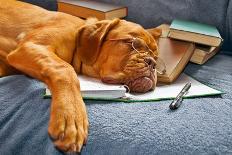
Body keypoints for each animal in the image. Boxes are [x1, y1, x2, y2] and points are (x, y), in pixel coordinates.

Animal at [0, 0, 161, 153]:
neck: (77, 39)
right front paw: (71, 115)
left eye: (156, 57)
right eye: (133, 43)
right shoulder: (31, 46)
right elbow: (65, 69)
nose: (152, 63)